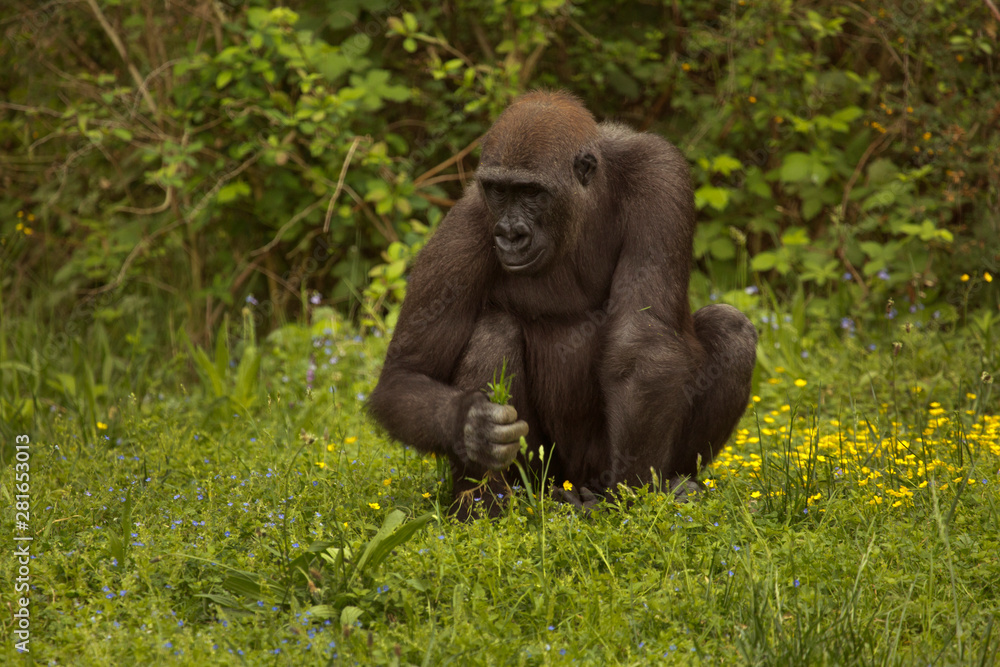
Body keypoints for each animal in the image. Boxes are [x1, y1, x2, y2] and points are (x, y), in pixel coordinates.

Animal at [368, 90, 757, 518]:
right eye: (499, 191)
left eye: (531, 192)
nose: (509, 234)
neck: (587, 201)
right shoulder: (465, 228)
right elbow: (406, 375)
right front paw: (470, 427)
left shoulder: (660, 175)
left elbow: (642, 344)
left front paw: (631, 494)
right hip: (546, 475)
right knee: (493, 331)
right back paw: (487, 506)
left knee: (729, 326)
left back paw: (675, 485)